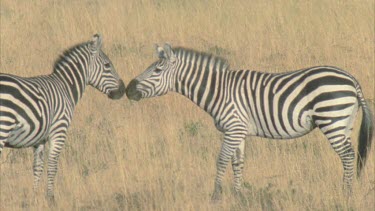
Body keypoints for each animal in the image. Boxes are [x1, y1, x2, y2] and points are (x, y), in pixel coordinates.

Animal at [0, 34, 126, 203]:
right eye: (107, 65)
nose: (123, 90)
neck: (66, 88)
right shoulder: (59, 130)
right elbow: (53, 166)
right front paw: (50, 198)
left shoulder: (40, 138)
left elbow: (37, 167)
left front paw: (34, 198)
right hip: (3, 127)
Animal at [126, 44, 374, 199]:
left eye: (157, 70)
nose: (128, 90)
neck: (219, 91)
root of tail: (352, 80)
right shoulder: (239, 131)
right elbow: (238, 163)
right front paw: (238, 195)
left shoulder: (233, 128)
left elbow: (221, 161)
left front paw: (215, 196)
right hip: (344, 122)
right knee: (350, 155)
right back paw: (347, 189)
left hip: (332, 119)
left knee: (348, 155)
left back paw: (346, 193)